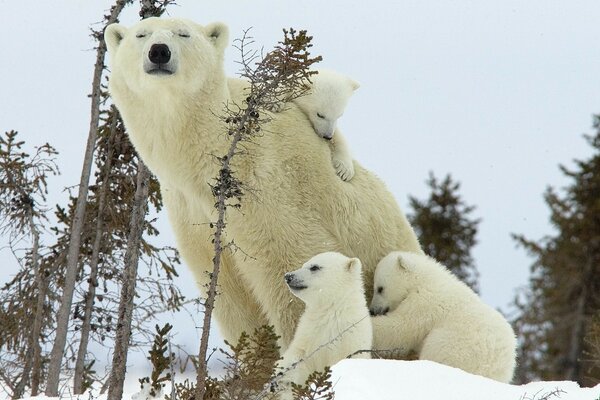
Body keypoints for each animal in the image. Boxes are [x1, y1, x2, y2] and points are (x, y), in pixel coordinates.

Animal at [103, 18, 422, 350]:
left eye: (183, 34)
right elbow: (231, 296)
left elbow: (292, 269)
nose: (159, 52)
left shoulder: (268, 187)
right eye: (141, 35)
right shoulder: (191, 212)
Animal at [278, 253, 372, 390]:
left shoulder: (351, 339)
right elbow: (299, 355)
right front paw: (282, 377)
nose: (288, 276)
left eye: (314, 267)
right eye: (304, 264)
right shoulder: (308, 333)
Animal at [368, 252, 516, 382]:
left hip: (456, 346)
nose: (373, 310)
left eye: (380, 288)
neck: (424, 279)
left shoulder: (424, 302)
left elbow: (401, 328)